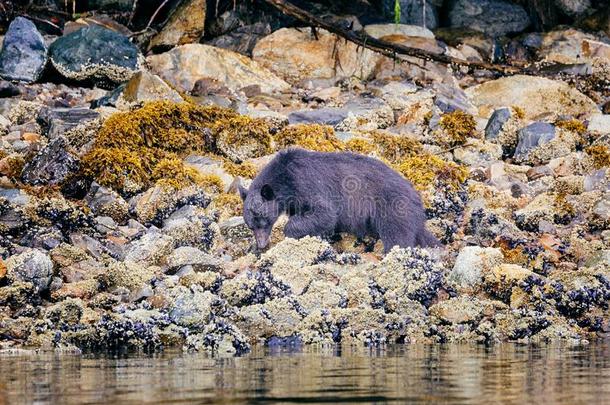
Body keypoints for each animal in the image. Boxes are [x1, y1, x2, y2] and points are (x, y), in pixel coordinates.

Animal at [238, 147, 436, 251]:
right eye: (251, 225)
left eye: (263, 220)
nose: (261, 245)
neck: (285, 178)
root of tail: (417, 199)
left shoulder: (307, 184)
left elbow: (325, 214)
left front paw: (291, 232)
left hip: (393, 208)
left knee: (397, 237)